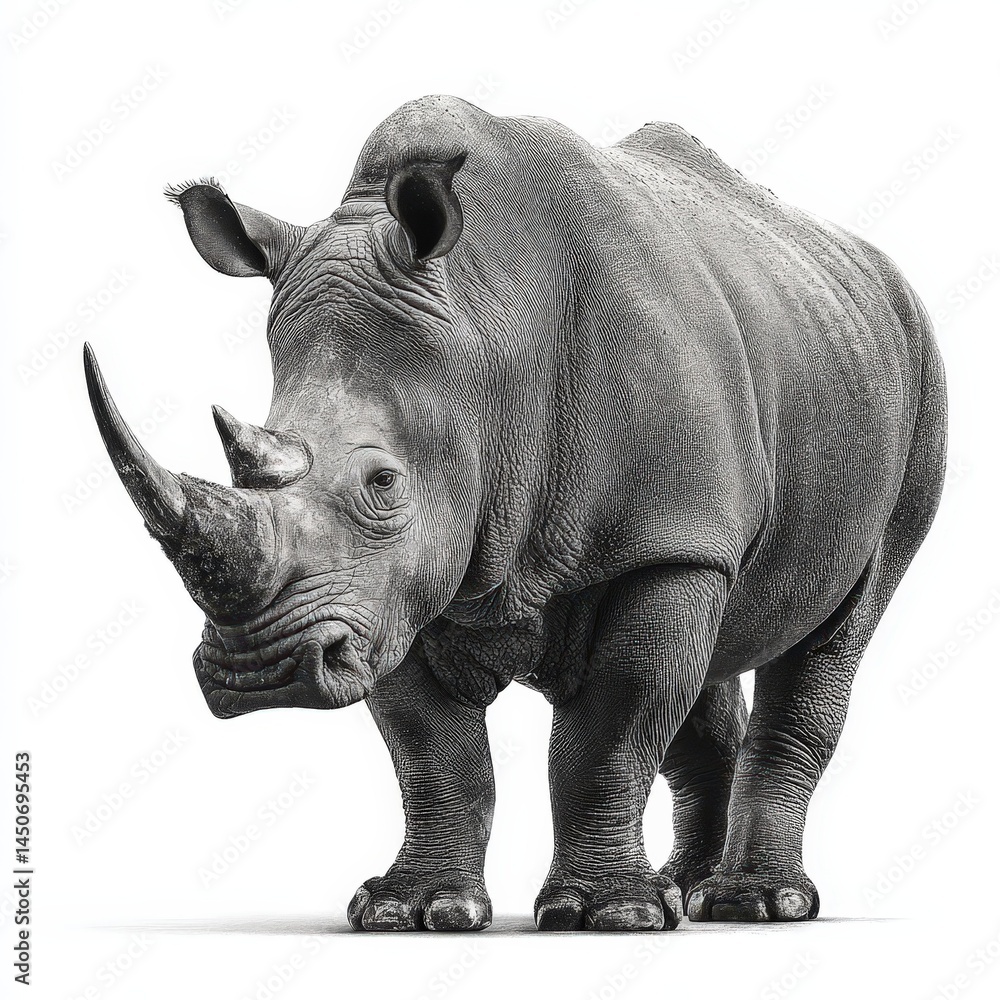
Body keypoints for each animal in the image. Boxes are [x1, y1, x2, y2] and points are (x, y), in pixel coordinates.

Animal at [84, 95, 946, 932]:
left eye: (384, 484)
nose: (257, 672)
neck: (488, 341)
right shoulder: (394, 592)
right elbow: (433, 750)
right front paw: (412, 910)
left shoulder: (659, 538)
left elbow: (613, 726)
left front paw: (609, 915)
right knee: (712, 652)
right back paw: (689, 889)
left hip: (914, 382)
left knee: (836, 630)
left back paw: (755, 905)